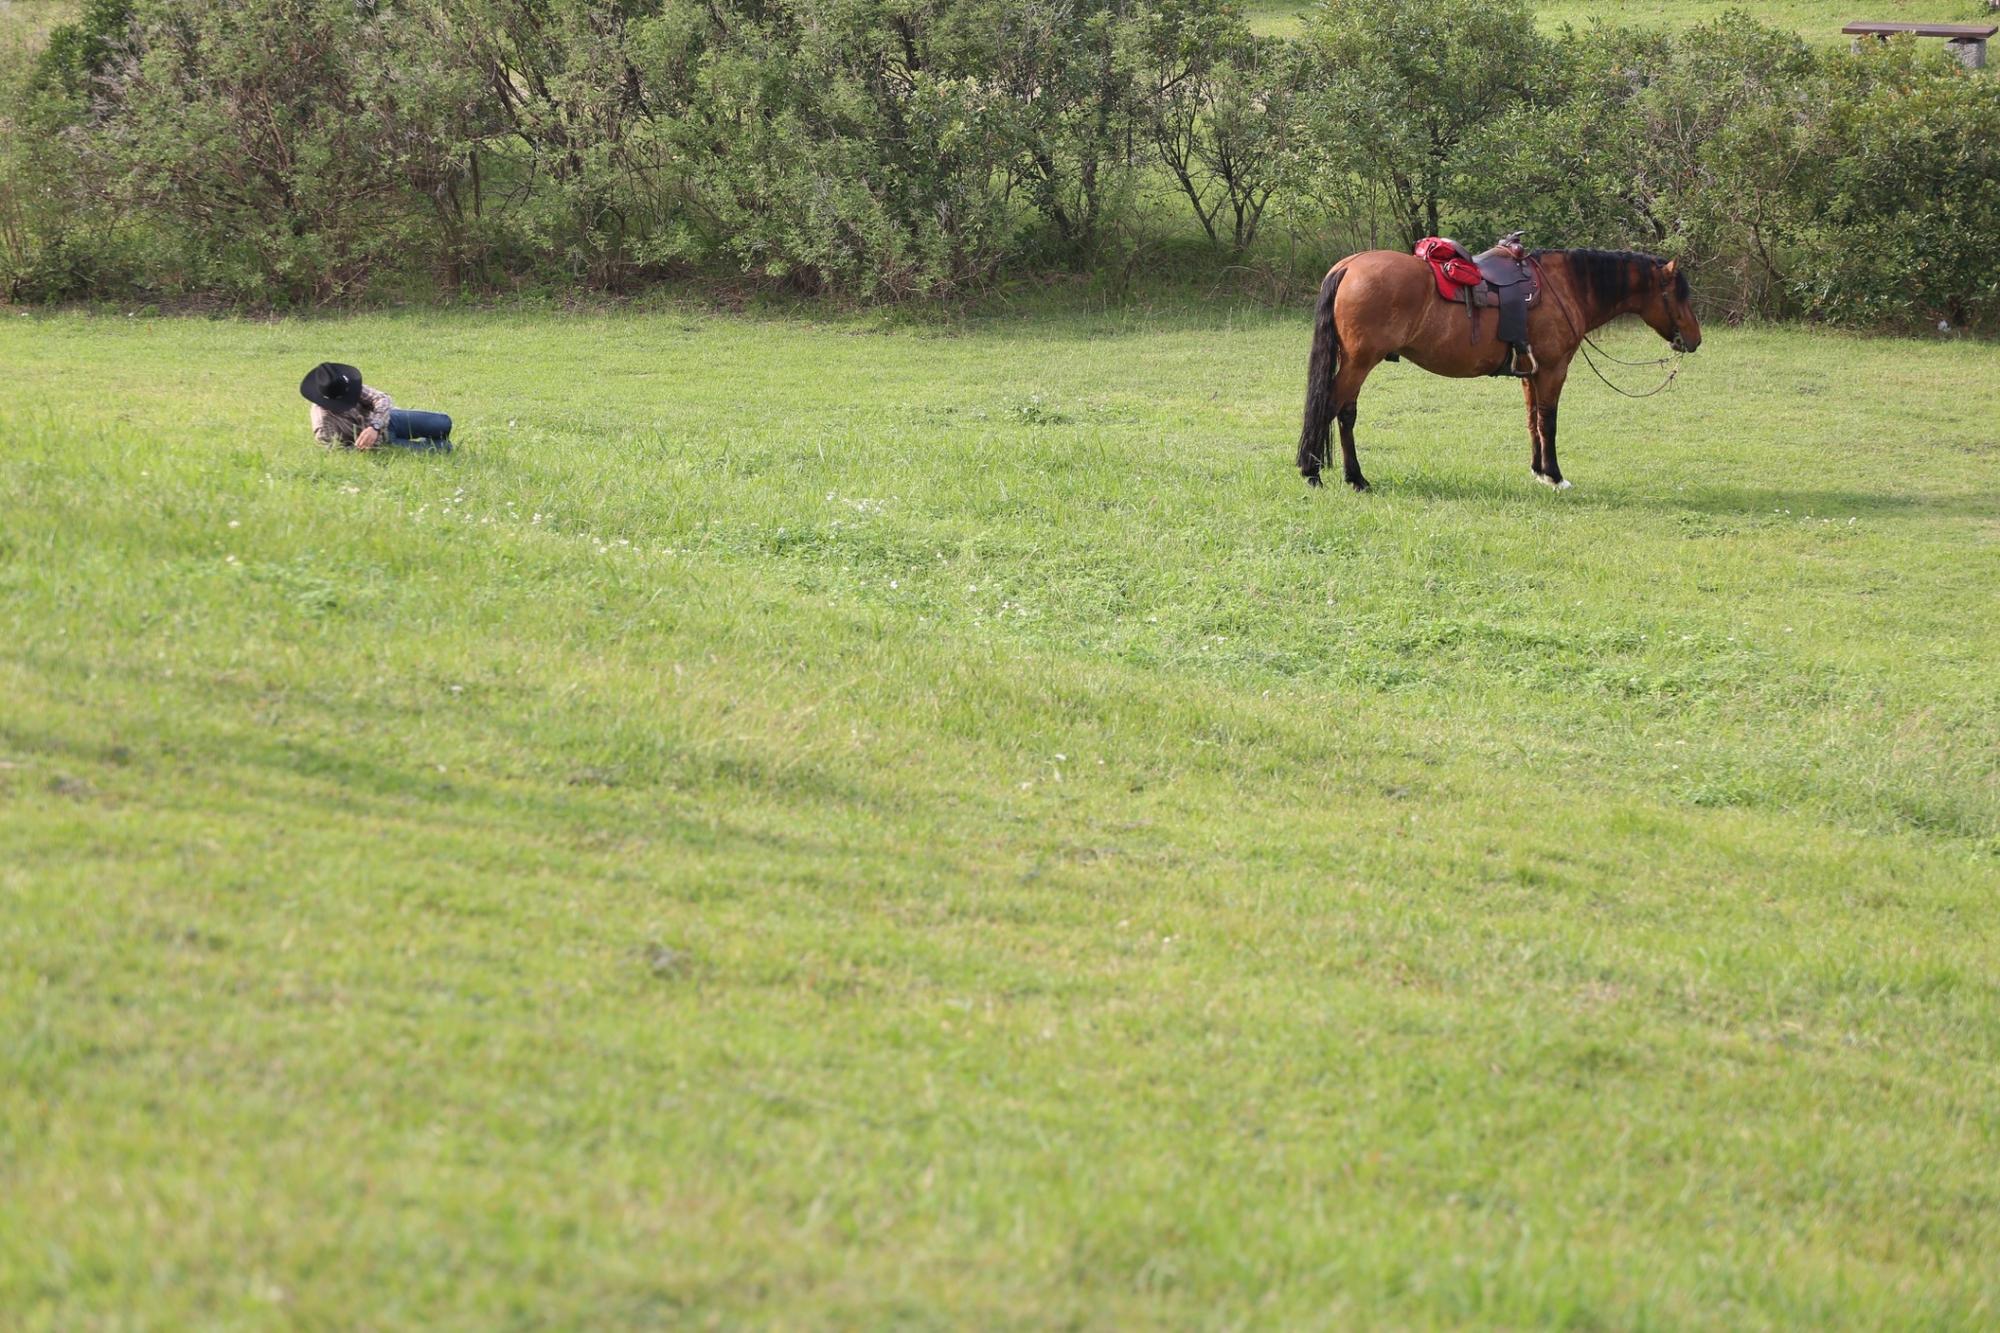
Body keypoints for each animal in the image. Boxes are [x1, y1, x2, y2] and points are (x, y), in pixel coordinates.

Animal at [1296, 247, 1701, 491]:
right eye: (1680, 295)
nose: (1695, 340)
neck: (1564, 287)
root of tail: (1349, 265)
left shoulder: (1530, 373)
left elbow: (1532, 420)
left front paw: (1538, 470)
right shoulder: (1553, 369)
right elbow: (1548, 422)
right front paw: (1555, 476)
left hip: (1356, 361)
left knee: (1345, 414)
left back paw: (1355, 478)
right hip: (1359, 362)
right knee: (1331, 408)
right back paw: (1312, 472)